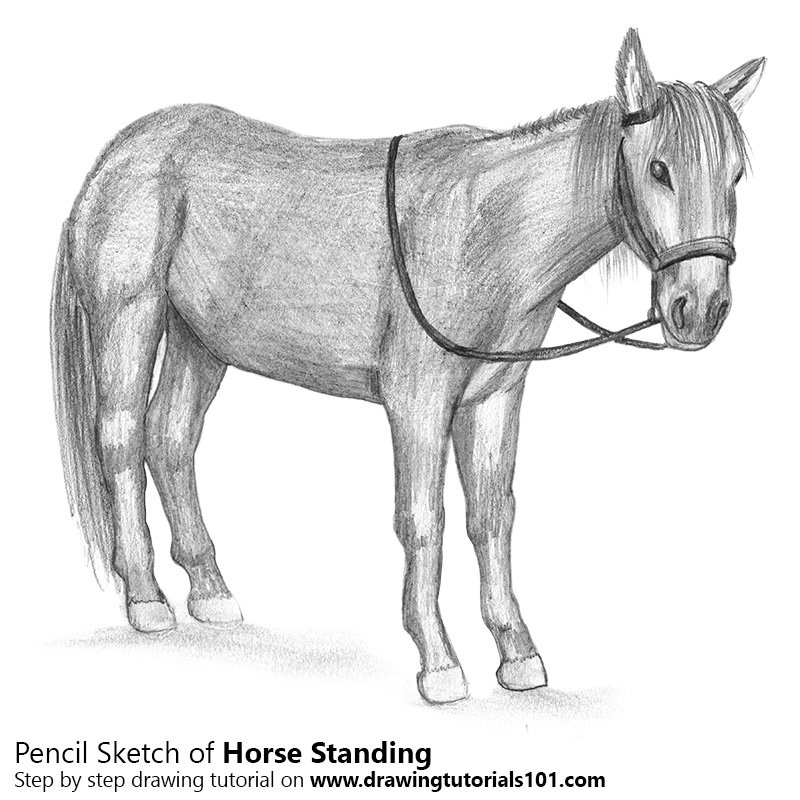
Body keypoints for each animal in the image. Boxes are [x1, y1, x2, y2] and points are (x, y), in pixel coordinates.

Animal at [51, 29, 763, 703]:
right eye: (660, 168)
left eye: (736, 175)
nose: (700, 307)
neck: (484, 226)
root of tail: (120, 154)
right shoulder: (417, 401)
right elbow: (424, 521)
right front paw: (440, 663)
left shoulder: (494, 397)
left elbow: (492, 515)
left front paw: (517, 653)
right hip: (130, 317)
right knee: (122, 437)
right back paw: (146, 599)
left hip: (200, 340)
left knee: (171, 439)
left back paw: (210, 592)